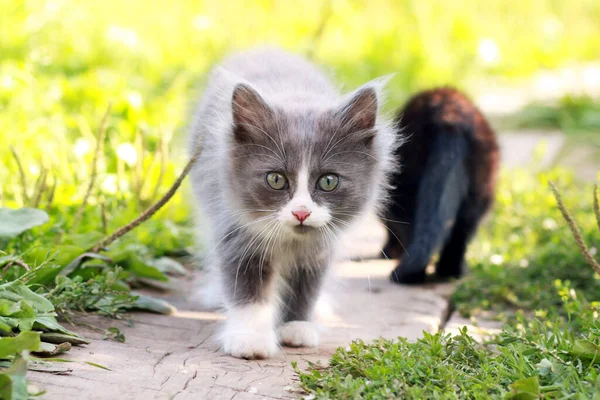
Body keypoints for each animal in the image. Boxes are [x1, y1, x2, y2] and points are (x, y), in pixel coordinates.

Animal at [189, 47, 398, 360]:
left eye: (328, 181)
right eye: (276, 179)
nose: (301, 212)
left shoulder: (320, 248)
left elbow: (305, 287)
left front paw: (297, 326)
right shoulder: (235, 232)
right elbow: (248, 289)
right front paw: (250, 338)